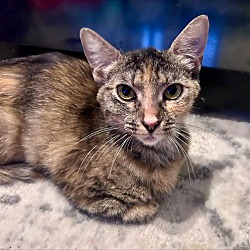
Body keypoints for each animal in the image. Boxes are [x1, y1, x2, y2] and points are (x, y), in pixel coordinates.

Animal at [0, 15, 208, 223]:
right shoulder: (85, 189)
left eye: (173, 91)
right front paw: (148, 202)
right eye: (125, 92)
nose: (151, 122)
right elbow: (137, 206)